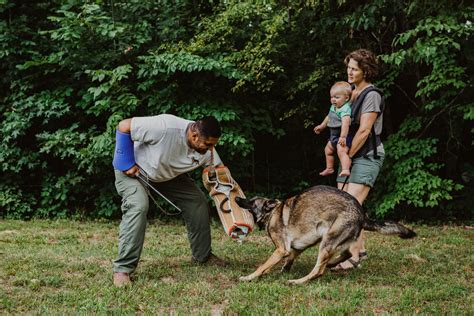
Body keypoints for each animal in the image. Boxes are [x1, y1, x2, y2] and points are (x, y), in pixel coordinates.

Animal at [236, 184, 414, 286]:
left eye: (251, 202)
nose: (237, 198)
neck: (271, 213)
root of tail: (362, 214)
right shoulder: (296, 248)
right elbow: (287, 261)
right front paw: (281, 271)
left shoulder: (281, 250)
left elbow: (262, 266)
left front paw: (249, 277)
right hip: (334, 240)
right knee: (347, 254)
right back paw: (331, 263)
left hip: (327, 242)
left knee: (318, 270)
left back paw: (298, 281)